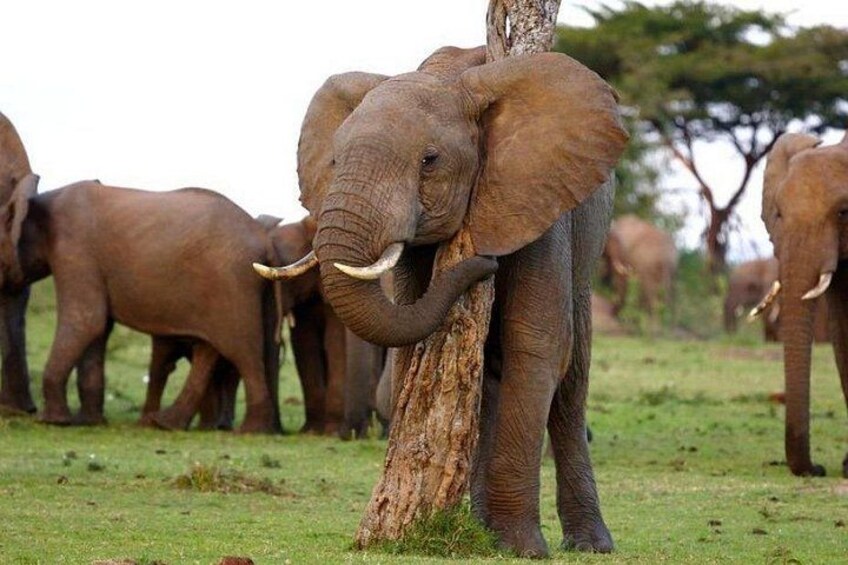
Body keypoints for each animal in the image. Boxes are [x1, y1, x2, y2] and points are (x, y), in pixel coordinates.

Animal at [0, 178, 281, 433]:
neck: (39, 200)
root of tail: (263, 238)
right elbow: (98, 329)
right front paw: (88, 422)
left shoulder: (74, 249)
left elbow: (86, 320)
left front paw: (52, 422)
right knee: (210, 348)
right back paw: (165, 423)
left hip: (232, 283)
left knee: (242, 351)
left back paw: (250, 431)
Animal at [257, 45, 628, 556]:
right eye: (334, 160)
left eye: (429, 160)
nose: (485, 265)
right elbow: (411, 338)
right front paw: (505, 542)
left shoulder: (535, 198)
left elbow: (536, 344)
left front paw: (523, 549)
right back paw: (482, 528)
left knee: (571, 382)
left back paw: (589, 545)